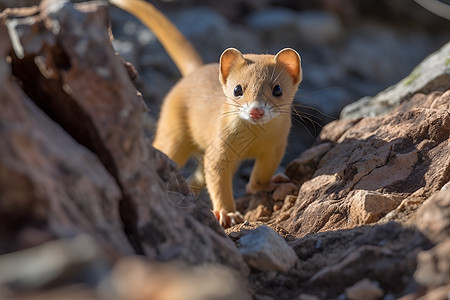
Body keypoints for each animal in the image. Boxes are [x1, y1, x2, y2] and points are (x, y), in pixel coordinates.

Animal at [109, 0, 302, 226]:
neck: (253, 141)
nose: (256, 111)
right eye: (238, 89)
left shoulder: (277, 145)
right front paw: (227, 213)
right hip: (173, 131)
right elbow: (217, 178)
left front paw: (271, 183)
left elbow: (262, 173)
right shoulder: (220, 145)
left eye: (277, 89)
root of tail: (195, 72)